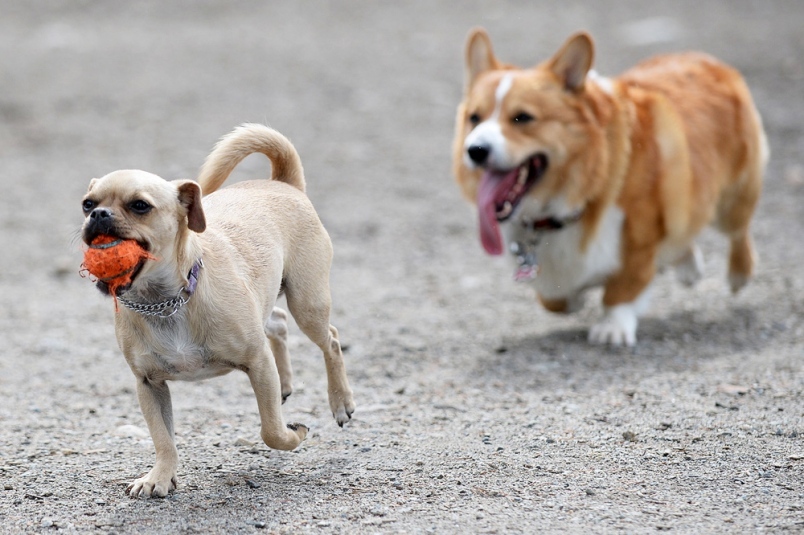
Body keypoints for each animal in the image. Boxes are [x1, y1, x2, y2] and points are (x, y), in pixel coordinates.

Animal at [80, 124, 354, 498]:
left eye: (140, 206)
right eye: (87, 204)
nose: (98, 214)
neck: (164, 302)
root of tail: (283, 183)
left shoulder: (257, 363)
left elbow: (271, 430)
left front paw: (294, 434)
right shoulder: (149, 385)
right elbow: (163, 439)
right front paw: (159, 477)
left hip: (307, 303)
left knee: (331, 340)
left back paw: (340, 402)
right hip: (271, 303)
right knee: (278, 323)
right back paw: (285, 383)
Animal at [452, 29, 768, 348]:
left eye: (522, 118)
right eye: (474, 118)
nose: (475, 150)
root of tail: (707, 60)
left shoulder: (639, 239)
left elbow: (623, 289)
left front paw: (612, 328)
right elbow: (553, 298)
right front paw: (575, 300)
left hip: (732, 201)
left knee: (739, 232)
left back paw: (739, 274)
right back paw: (688, 266)